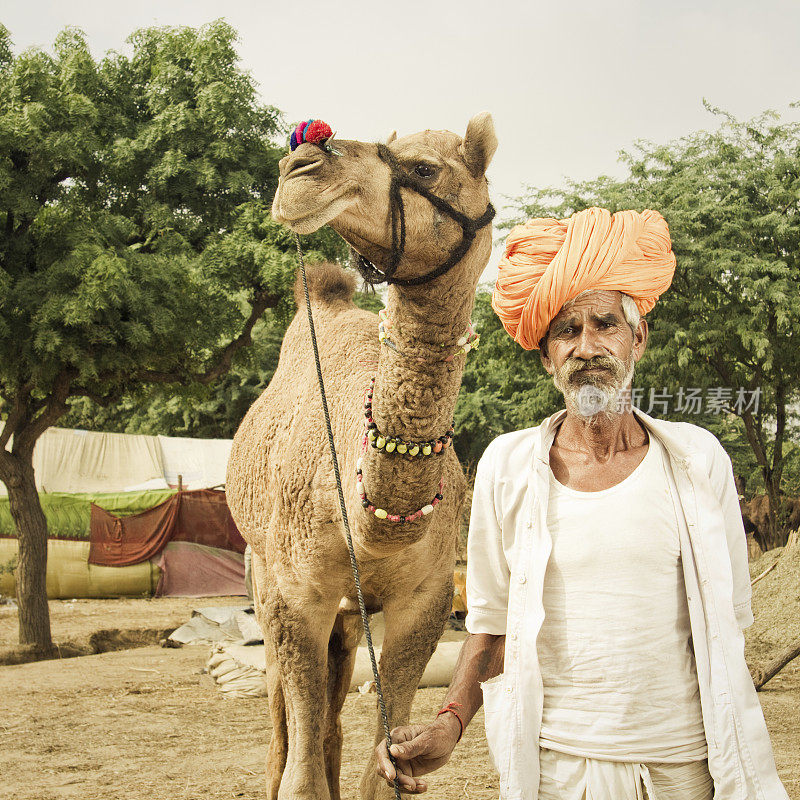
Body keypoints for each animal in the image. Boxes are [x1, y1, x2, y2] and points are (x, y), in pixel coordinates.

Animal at [225, 112, 496, 800]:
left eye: (425, 168)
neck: (371, 523)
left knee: (332, 705)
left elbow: (384, 768)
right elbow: (299, 780)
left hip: (350, 614)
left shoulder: (425, 603)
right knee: (283, 719)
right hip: (261, 573)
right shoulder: (293, 595)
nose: (302, 163)